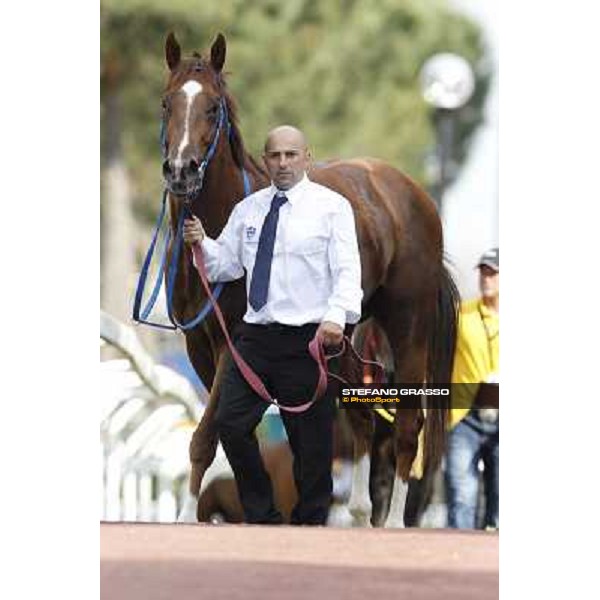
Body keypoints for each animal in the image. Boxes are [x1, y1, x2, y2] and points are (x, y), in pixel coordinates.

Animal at [159, 31, 460, 524]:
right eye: (167, 103)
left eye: (213, 107)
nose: (181, 171)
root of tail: (411, 193)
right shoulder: (198, 345)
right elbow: (226, 429)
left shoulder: (231, 342)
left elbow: (206, 433)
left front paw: (186, 519)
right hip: (342, 333)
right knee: (361, 416)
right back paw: (356, 512)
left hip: (408, 323)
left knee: (407, 423)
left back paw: (394, 519)